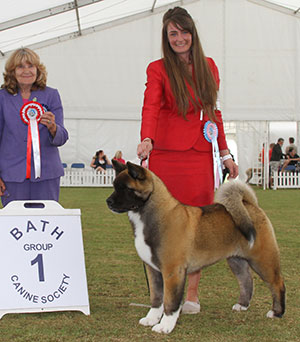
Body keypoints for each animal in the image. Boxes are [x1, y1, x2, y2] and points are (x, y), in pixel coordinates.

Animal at [106, 161, 284, 334]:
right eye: (115, 186)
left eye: (127, 189)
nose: (108, 201)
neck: (156, 214)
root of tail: (249, 204)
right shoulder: (153, 270)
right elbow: (156, 298)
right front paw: (151, 318)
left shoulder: (172, 271)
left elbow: (170, 301)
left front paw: (165, 326)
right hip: (236, 260)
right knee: (246, 280)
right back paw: (242, 305)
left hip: (263, 259)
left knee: (277, 283)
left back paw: (277, 312)